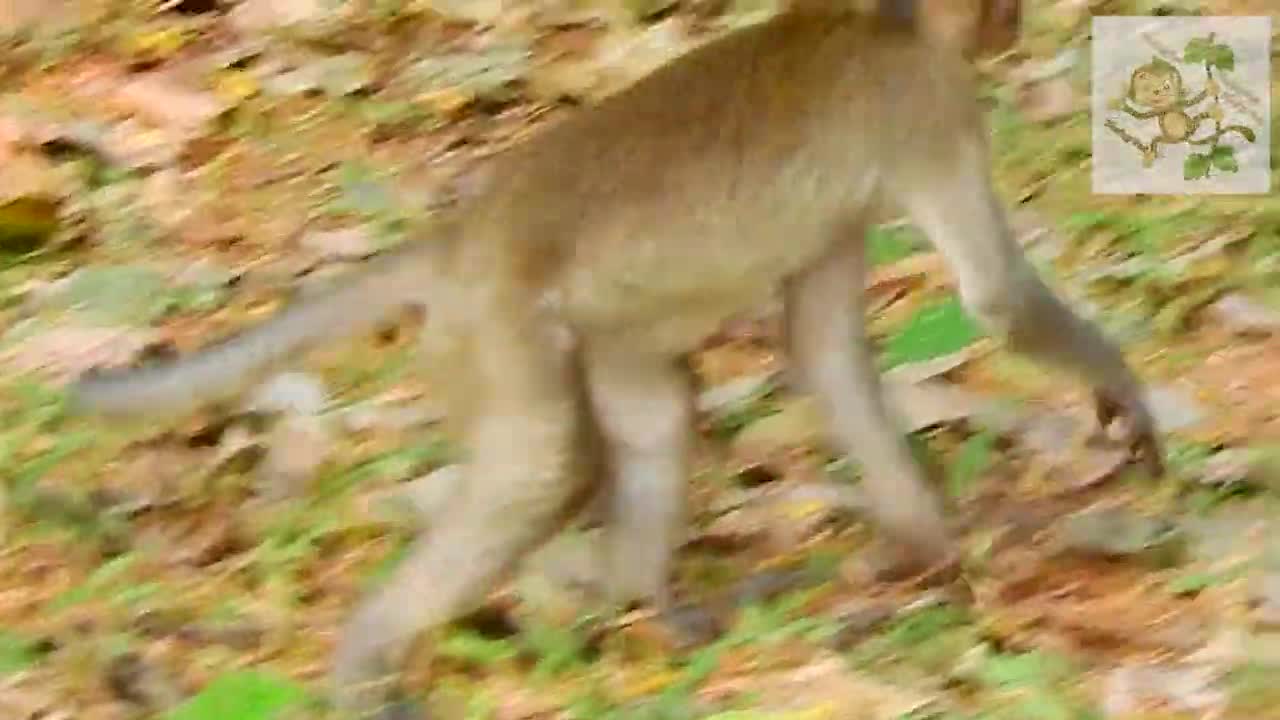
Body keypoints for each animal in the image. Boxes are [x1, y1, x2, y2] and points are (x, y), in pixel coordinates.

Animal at [68, 1, 1164, 716]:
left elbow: (823, 354)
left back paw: (651, 613)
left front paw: (932, 555)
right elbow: (995, 302)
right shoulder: (925, 102)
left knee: (654, 414)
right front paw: (1123, 399)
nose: (1008, 27)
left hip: (590, 335)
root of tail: (462, 240)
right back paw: (367, 666)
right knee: (544, 468)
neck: (883, 24)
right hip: (497, 332)